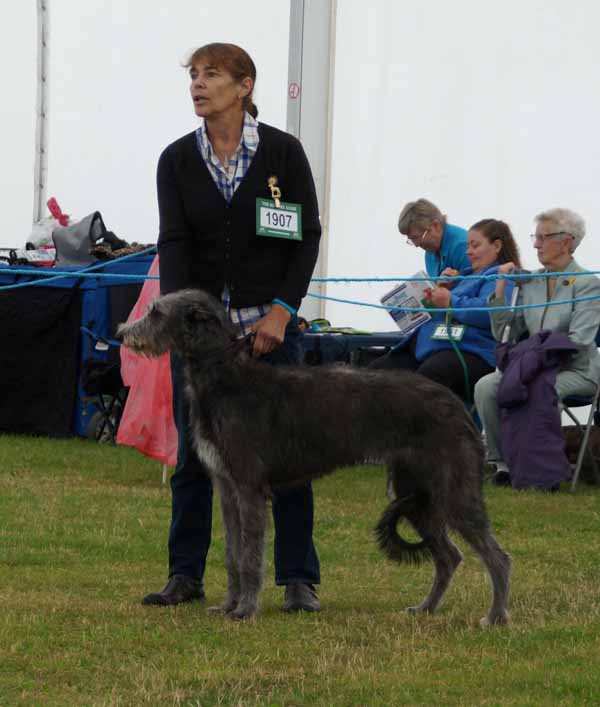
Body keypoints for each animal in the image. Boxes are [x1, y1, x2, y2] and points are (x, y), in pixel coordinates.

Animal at [120, 290, 510, 624]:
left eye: (156, 312)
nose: (122, 332)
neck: (225, 375)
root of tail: (458, 404)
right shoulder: (227, 487)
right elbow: (233, 553)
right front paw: (228, 605)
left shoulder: (249, 488)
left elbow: (250, 557)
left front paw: (245, 609)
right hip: (413, 492)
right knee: (448, 556)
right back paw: (426, 608)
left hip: (452, 489)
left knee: (497, 557)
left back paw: (495, 617)